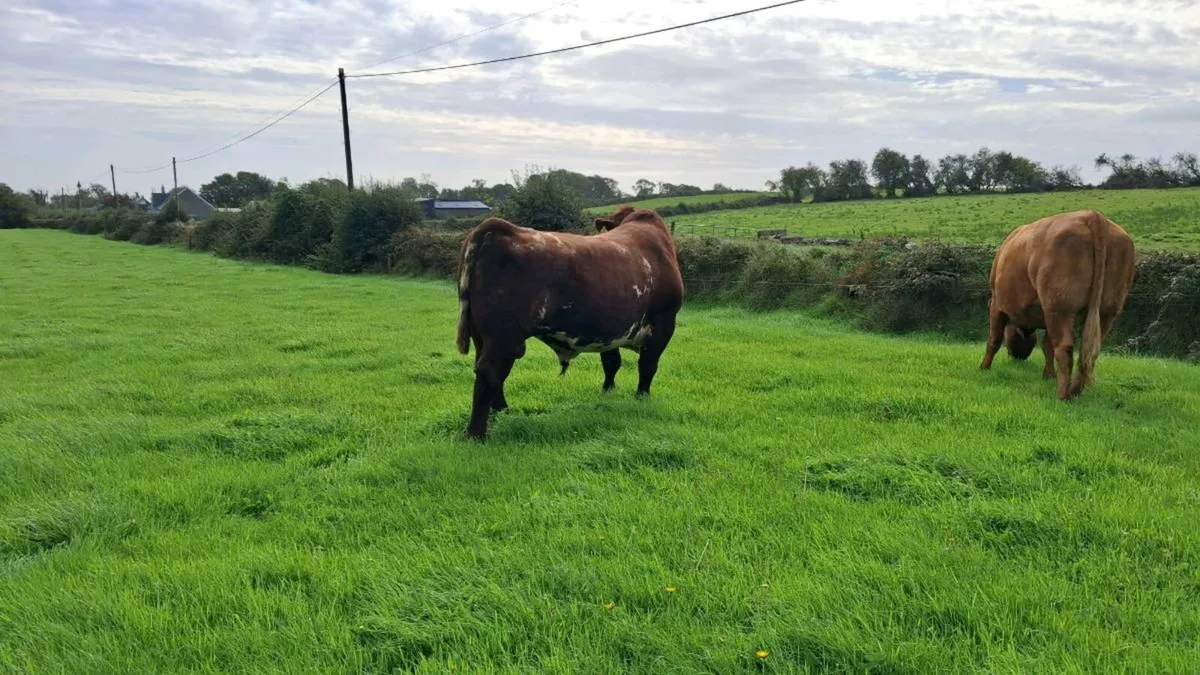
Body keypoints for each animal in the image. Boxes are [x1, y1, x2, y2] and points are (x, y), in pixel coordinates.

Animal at [454, 205, 684, 440]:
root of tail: (496, 227)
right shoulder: (663, 323)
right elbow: (648, 366)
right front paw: (641, 397)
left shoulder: (609, 330)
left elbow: (612, 362)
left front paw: (607, 391)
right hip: (504, 335)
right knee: (490, 372)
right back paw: (476, 433)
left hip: (480, 333)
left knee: (485, 368)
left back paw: (502, 412)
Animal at [979, 208, 1136, 400]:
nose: (1018, 357)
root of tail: (1092, 215)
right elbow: (1047, 346)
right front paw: (1048, 375)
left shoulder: (997, 304)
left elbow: (994, 339)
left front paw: (984, 367)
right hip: (1106, 312)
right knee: (1088, 353)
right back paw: (1074, 390)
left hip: (1060, 309)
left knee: (1064, 348)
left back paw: (1062, 395)